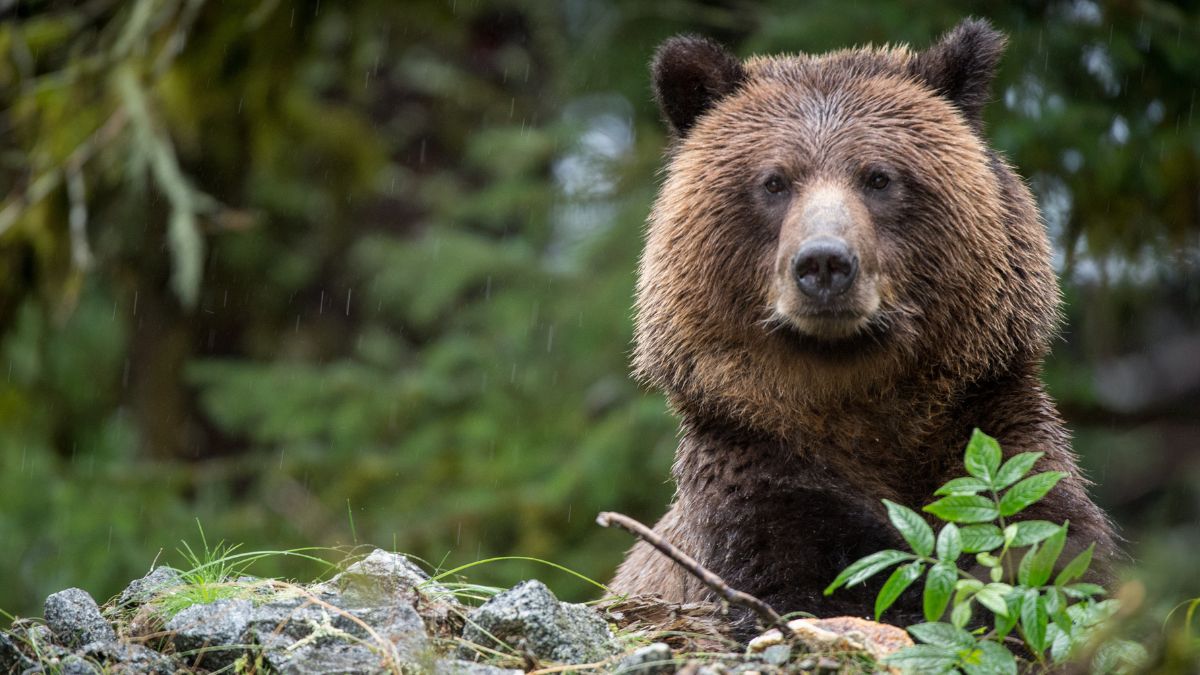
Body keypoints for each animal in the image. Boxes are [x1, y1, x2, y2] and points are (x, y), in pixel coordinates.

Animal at [614, 17, 1118, 624]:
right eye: (774, 181)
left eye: (878, 177)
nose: (824, 262)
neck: (857, 401)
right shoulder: (755, 470)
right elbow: (812, 576)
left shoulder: (996, 435)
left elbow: (1052, 547)